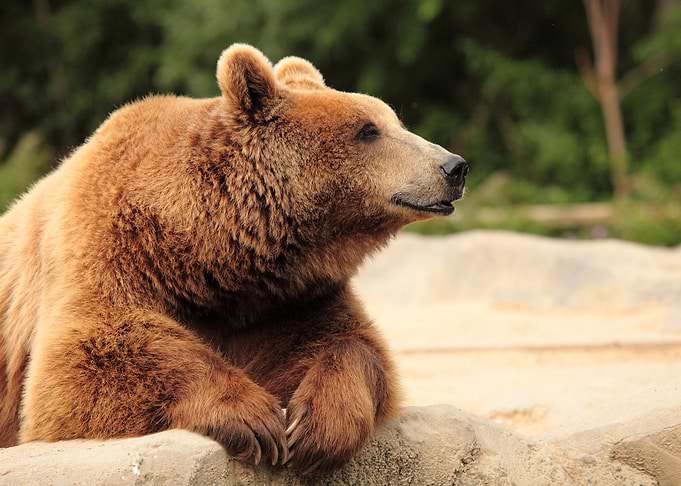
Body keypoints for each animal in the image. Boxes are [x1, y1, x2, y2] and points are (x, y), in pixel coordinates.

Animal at [0, 44, 468, 474]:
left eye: (395, 121)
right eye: (368, 130)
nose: (454, 166)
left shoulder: (285, 300)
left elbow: (351, 345)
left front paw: (314, 428)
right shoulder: (107, 246)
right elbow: (87, 359)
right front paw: (254, 421)